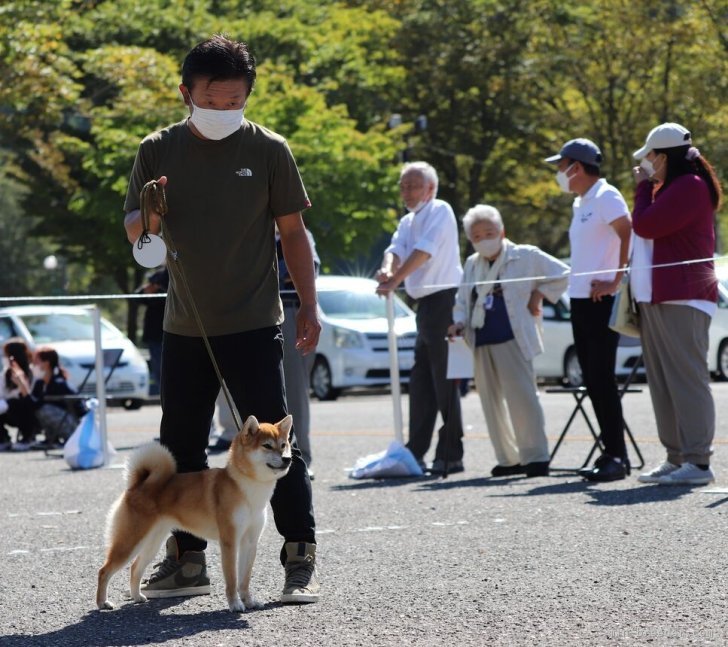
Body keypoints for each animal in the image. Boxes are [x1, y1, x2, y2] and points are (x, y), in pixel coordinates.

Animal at [95, 416, 292, 612]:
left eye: (283, 445)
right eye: (267, 446)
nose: (288, 459)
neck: (248, 487)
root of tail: (139, 484)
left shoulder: (250, 542)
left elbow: (244, 579)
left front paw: (249, 601)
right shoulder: (229, 542)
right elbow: (232, 579)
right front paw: (235, 604)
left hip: (152, 542)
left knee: (135, 567)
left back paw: (137, 596)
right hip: (130, 541)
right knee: (104, 571)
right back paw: (102, 602)